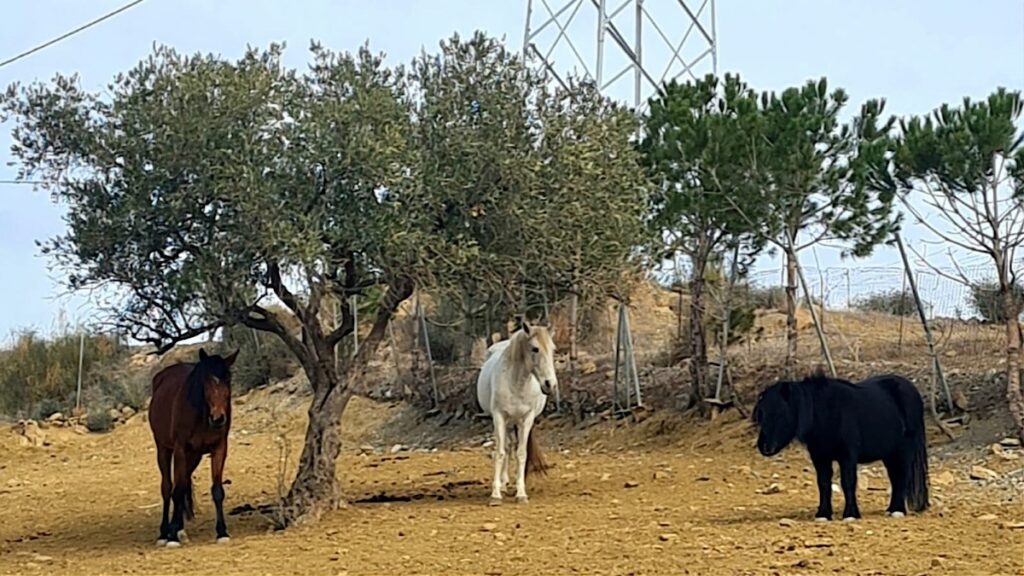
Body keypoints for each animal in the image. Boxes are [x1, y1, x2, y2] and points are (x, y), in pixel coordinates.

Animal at [148, 348, 237, 545]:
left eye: (228, 379)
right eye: (205, 381)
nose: (218, 418)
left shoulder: (219, 448)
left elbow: (217, 490)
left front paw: (222, 532)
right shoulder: (180, 449)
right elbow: (177, 490)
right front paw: (172, 536)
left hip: (194, 456)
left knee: (182, 483)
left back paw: (179, 528)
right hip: (164, 449)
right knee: (168, 487)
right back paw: (164, 533)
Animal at [473, 319, 557, 504]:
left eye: (553, 349)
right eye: (535, 348)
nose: (550, 384)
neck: (517, 383)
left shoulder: (527, 419)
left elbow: (521, 454)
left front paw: (521, 493)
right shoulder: (499, 417)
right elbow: (500, 453)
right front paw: (495, 495)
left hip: (516, 422)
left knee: (513, 446)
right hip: (505, 422)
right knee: (506, 446)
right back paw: (503, 484)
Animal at [753, 373, 929, 520]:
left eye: (780, 413)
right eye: (761, 414)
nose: (764, 447)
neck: (828, 414)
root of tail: (910, 388)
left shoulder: (848, 456)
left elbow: (848, 482)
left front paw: (850, 514)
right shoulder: (820, 457)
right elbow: (823, 483)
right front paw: (823, 514)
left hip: (903, 451)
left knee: (902, 476)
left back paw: (898, 511)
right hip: (889, 454)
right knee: (895, 477)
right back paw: (890, 509)